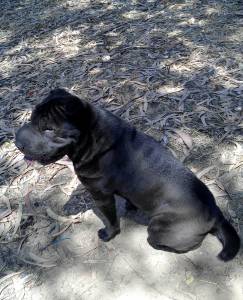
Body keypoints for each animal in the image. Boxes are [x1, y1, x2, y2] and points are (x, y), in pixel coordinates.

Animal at [15, 88, 241, 260]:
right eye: (32, 118)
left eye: (49, 129)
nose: (17, 142)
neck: (91, 138)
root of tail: (215, 212)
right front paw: (131, 207)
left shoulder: (101, 195)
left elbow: (110, 220)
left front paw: (108, 234)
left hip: (158, 227)